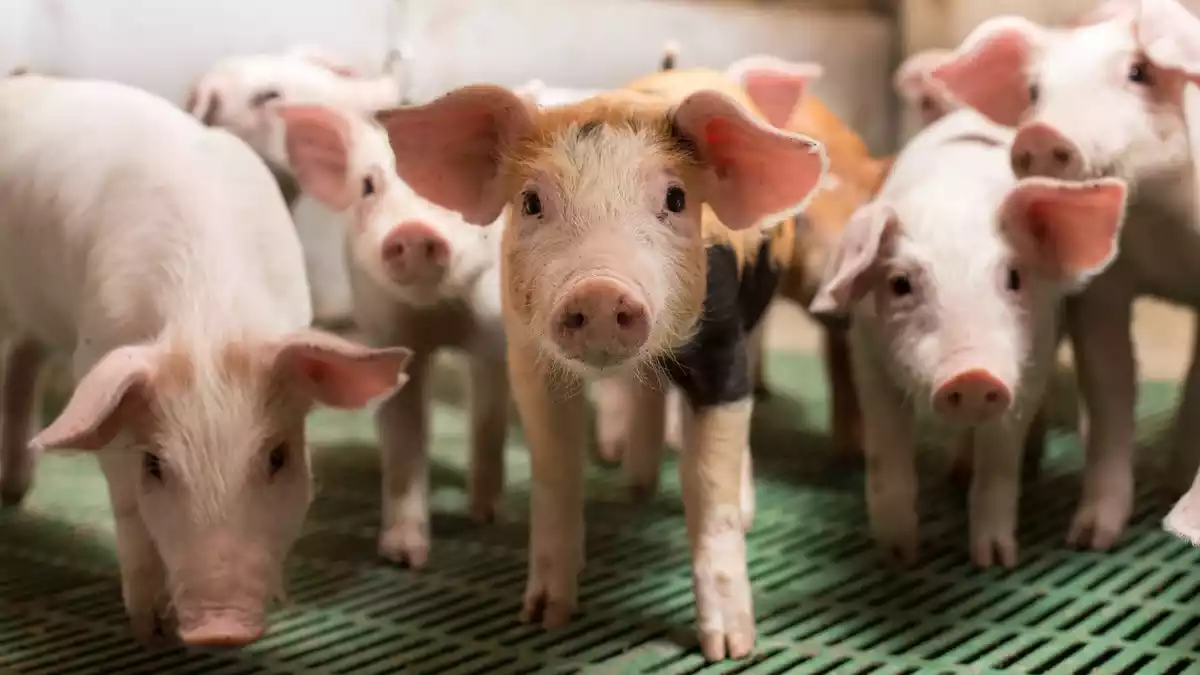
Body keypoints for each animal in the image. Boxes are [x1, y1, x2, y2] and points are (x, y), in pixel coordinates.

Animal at [0, 75, 410, 645]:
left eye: (278, 457)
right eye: (155, 464)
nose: (221, 626)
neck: (209, 321)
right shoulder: (96, 361)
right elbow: (126, 504)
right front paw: (148, 628)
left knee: (22, 358)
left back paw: (14, 493)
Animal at [266, 102, 508, 567]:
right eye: (367, 185)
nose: (412, 231)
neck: (438, 316)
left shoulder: (494, 336)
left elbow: (488, 417)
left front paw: (483, 516)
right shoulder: (387, 332)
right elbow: (404, 437)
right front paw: (405, 557)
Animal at [374, 71, 827, 659]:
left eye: (676, 198)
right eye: (531, 201)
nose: (599, 289)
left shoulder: (720, 347)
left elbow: (711, 489)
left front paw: (729, 649)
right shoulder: (532, 364)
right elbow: (556, 475)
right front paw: (544, 617)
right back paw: (636, 487)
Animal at [811, 108, 1127, 567]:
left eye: (1013, 277)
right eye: (901, 283)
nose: (973, 375)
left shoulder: (1032, 363)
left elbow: (999, 460)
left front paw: (994, 561)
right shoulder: (867, 355)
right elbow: (887, 450)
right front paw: (899, 555)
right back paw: (957, 474)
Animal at [926, 0, 1200, 549]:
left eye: (1140, 72)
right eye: (1036, 91)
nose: (1040, 134)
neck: (1160, 230)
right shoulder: (1099, 290)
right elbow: (1112, 389)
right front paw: (1090, 539)